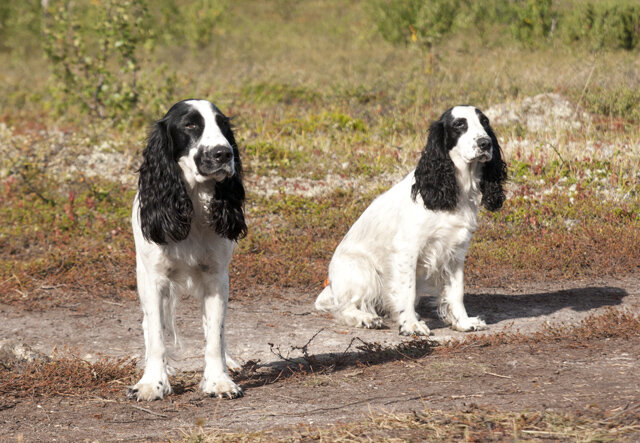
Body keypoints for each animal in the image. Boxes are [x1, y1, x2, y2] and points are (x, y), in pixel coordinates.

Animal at [127, 100, 245, 402]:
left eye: (222, 124)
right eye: (190, 125)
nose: (224, 153)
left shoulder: (216, 277)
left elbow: (215, 335)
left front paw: (219, 381)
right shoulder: (154, 279)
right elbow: (157, 335)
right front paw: (152, 383)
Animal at [318, 106, 508, 336]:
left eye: (485, 122)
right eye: (459, 124)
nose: (485, 143)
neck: (455, 188)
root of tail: (331, 285)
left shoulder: (455, 252)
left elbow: (456, 291)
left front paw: (463, 322)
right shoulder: (407, 249)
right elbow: (407, 290)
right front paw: (411, 325)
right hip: (362, 272)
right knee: (344, 307)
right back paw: (366, 318)